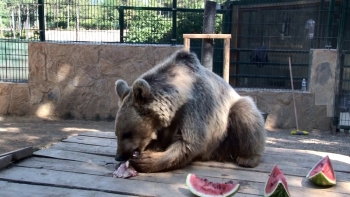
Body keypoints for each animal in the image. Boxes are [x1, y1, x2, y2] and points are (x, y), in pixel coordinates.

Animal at [114, 49, 266, 172]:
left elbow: (190, 142)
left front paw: (146, 160)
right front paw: (153, 148)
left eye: (127, 134)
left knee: (245, 113)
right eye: (117, 133)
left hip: (225, 131)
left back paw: (248, 158)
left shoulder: (196, 105)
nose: (119, 156)